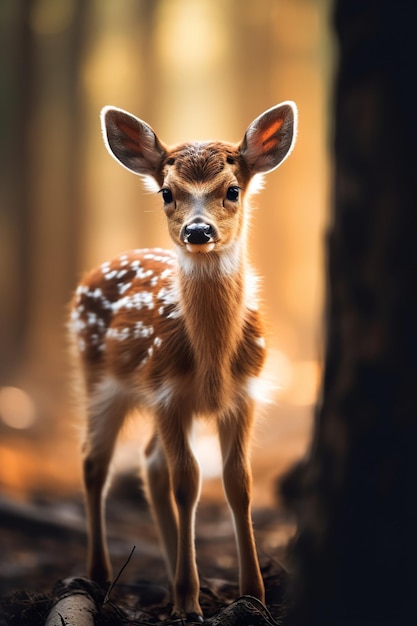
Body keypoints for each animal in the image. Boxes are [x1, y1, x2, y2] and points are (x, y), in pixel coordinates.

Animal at [70, 100, 296, 616]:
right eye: (166, 192)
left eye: (232, 189)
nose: (198, 230)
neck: (213, 358)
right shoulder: (169, 393)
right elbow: (187, 483)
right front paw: (189, 605)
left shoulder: (243, 395)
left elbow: (238, 483)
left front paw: (252, 595)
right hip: (99, 376)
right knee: (97, 460)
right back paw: (100, 575)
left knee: (150, 463)